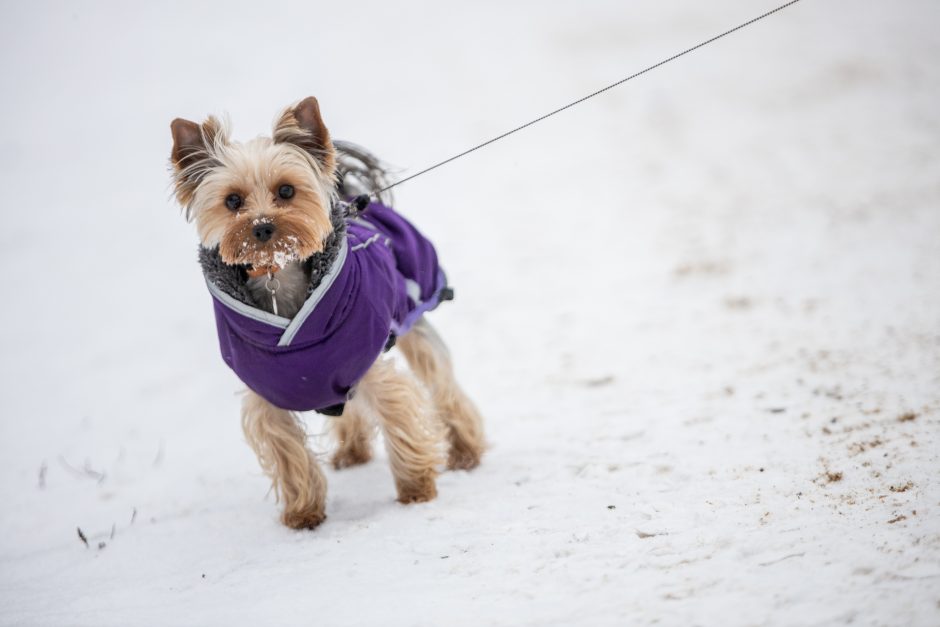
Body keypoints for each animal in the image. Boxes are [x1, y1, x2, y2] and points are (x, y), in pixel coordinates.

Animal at [168, 98, 484, 528]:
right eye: (233, 201)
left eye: (286, 190)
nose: (262, 227)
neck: (278, 275)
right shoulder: (269, 397)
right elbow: (289, 455)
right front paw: (303, 514)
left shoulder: (367, 361)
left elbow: (400, 419)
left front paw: (416, 490)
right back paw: (352, 452)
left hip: (414, 319)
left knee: (442, 385)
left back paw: (466, 452)